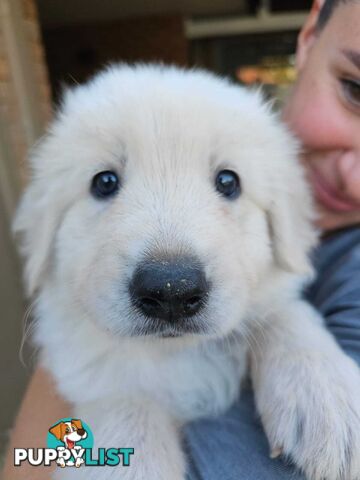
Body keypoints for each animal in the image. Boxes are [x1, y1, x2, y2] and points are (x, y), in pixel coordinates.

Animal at [14, 64, 360, 480]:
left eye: (228, 181)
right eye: (105, 182)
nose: (170, 290)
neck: (173, 353)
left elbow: (285, 314)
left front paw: (327, 396)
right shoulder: (95, 374)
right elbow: (126, 402)